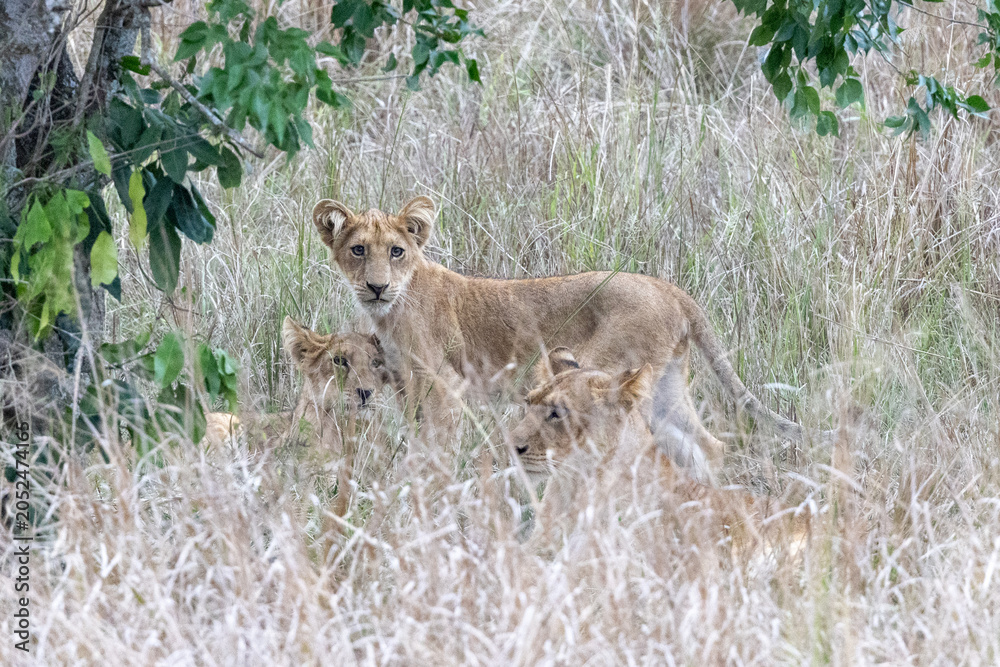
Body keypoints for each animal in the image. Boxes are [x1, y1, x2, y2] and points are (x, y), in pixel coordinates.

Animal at [312, 195, 828, 480]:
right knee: (707, 445)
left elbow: (433, 447)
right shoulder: (407, 386)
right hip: (667, 385)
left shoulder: (443, 385)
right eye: (358, 250)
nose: (377, 286)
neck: (390, 310)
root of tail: (670, 289)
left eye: (396, 251)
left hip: (600, 372)